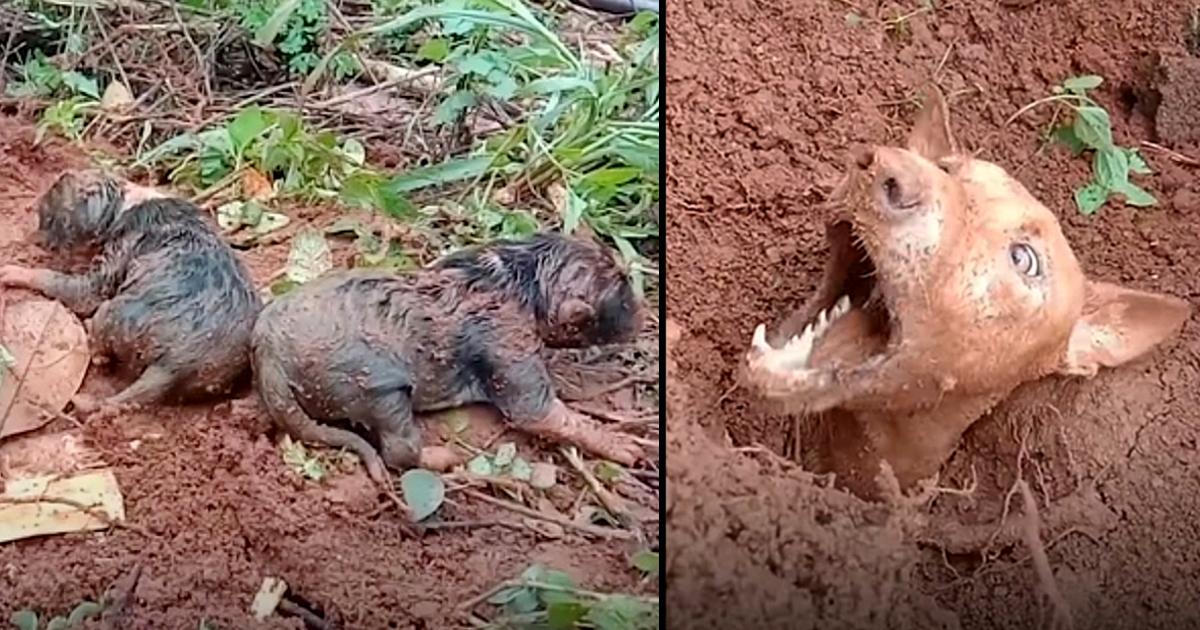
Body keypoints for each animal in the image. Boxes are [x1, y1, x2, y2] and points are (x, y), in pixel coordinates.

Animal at [0, 169, 260, 410]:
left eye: (49, 219)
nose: (36, 242)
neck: (128, 202)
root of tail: (174, 366)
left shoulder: (110, 261)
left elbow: (71, 286)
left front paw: (13, 270)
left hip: (110, 314)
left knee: (99, 351)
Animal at [252, 230, 648, 482]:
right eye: (623, 295)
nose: (644, 320)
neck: (523, 278)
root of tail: (267, 353)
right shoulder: (508, 342)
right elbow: (540, 414)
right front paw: (624, 445)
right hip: (373, 388)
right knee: (399, 450)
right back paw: (444, 457)